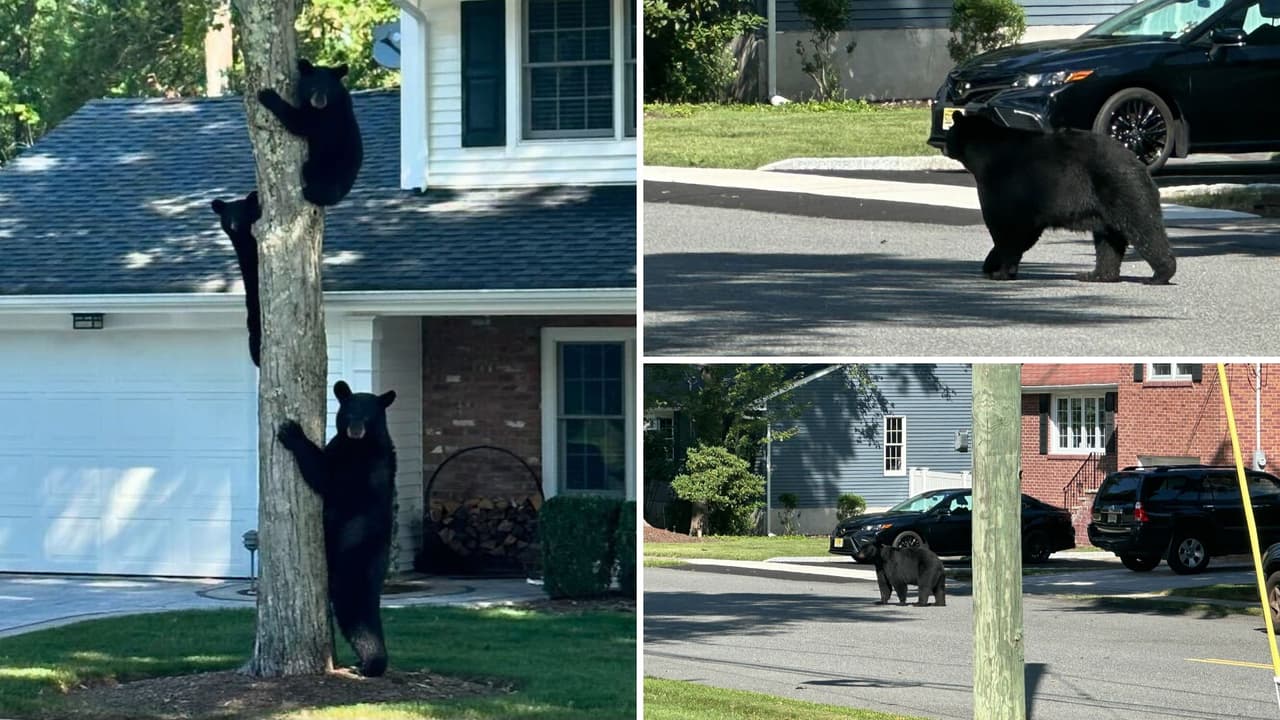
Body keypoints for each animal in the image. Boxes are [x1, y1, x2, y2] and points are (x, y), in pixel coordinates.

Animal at [257, 59, 363, 207]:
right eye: (312, 87)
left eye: (328, 90)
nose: (319, 102)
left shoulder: (325, 118)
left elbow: (299, 122)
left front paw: (267, 95)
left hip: (325, 167)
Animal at [277, 380, 397, 677]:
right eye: (350, 412)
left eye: (368, 416)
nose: (355, 429)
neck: (359, 445)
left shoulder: (360, 469)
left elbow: (325, 478)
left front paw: (292, 431)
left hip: (351, 560)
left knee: (355, 610)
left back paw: (371, 664)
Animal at [944, 111, 1176, 285]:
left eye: (949, 133)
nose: (944, 146)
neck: (982, 154)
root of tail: (1138, 162)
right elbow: (1023, 231)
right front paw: (992, 265)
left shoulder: (1002, 183)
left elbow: (1008, 228)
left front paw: (999, 270)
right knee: (1109, 240)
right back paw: (1096, 275)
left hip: (1122, 189)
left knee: (1144, 227)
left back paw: (1160, 274)